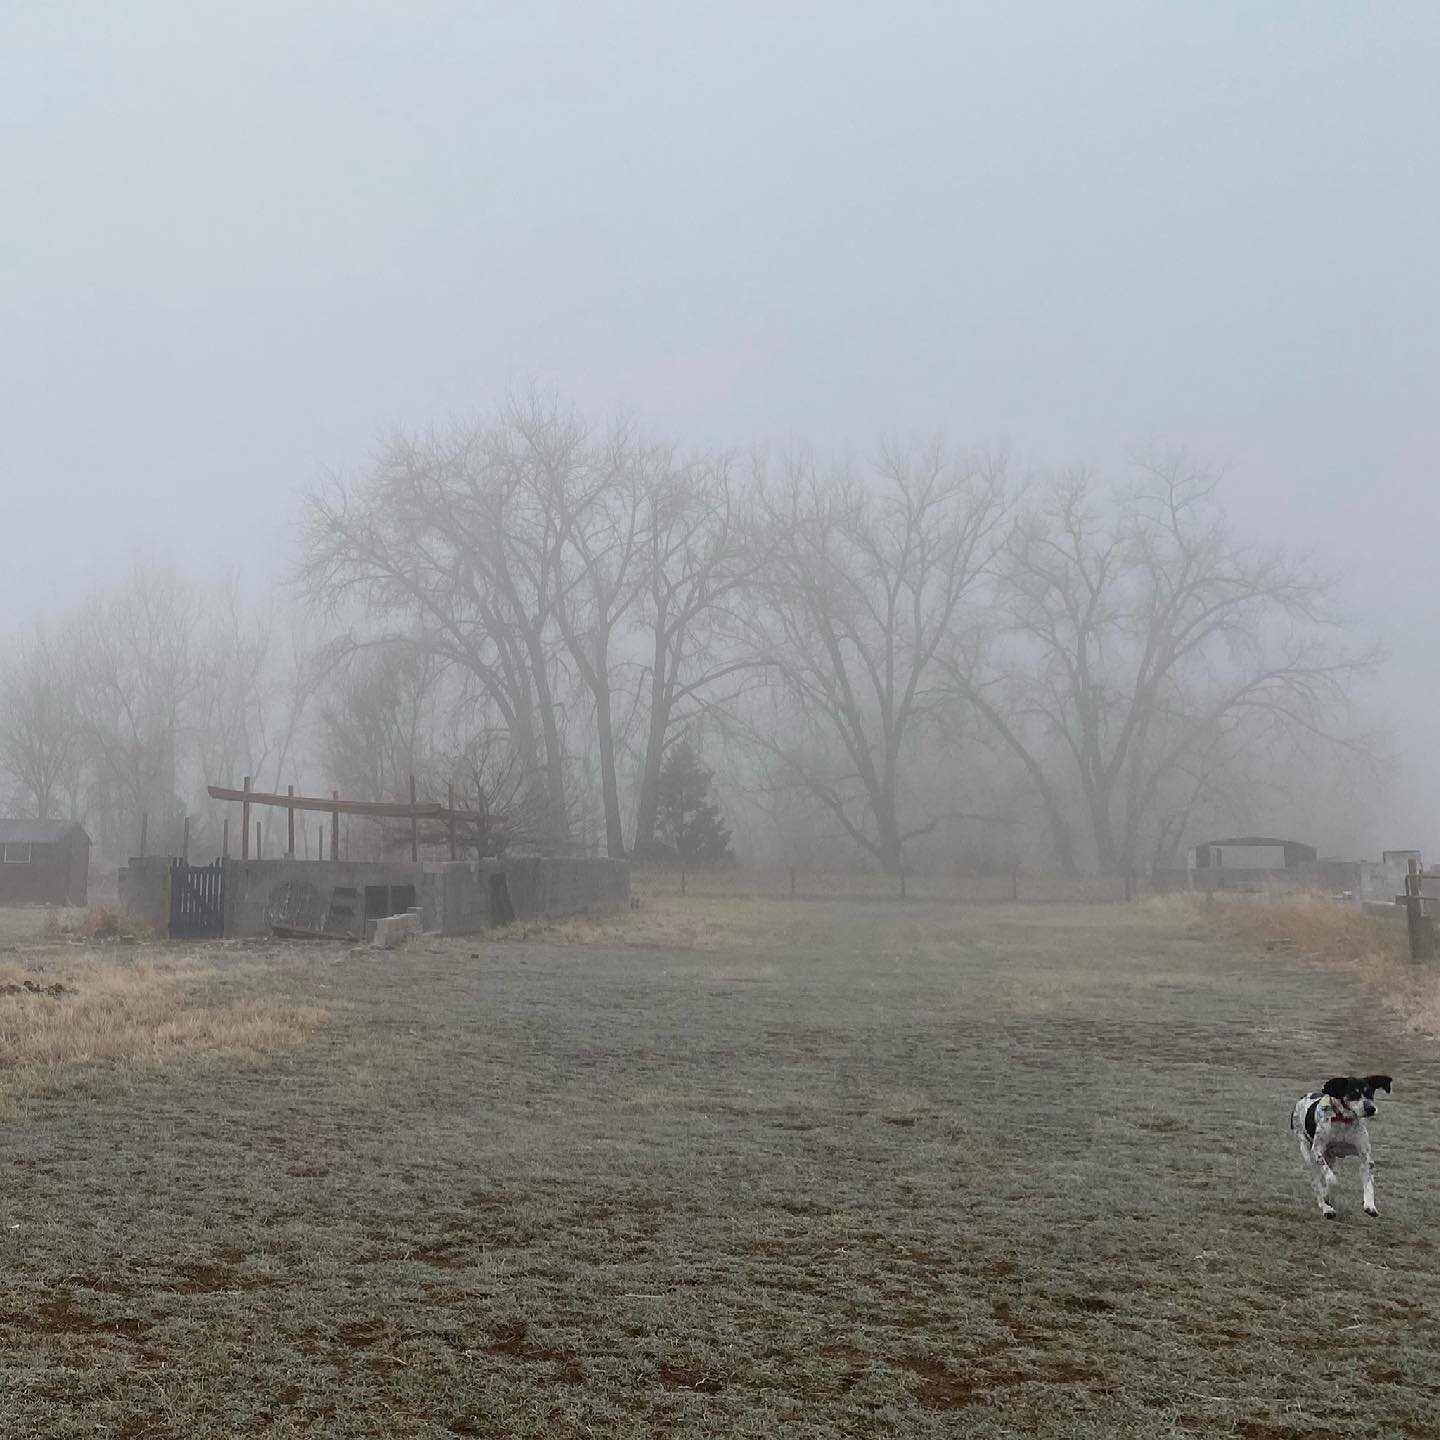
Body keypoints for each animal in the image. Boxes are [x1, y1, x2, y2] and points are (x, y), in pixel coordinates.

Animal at [1296, 1077, 1393, 1221]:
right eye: (1353, 1092)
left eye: (1370, 1092)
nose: (1371, 1108)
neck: (1343, 1120)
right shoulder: (1317, 1152)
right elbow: (1330, 1178)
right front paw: (1329, 1193)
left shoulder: (1365, 1156)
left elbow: (1368, 1182)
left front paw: (1370, 1205)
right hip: (1308, 1153)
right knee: (1317, 1182)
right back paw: (1326, 1208)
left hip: (1331, 1157)